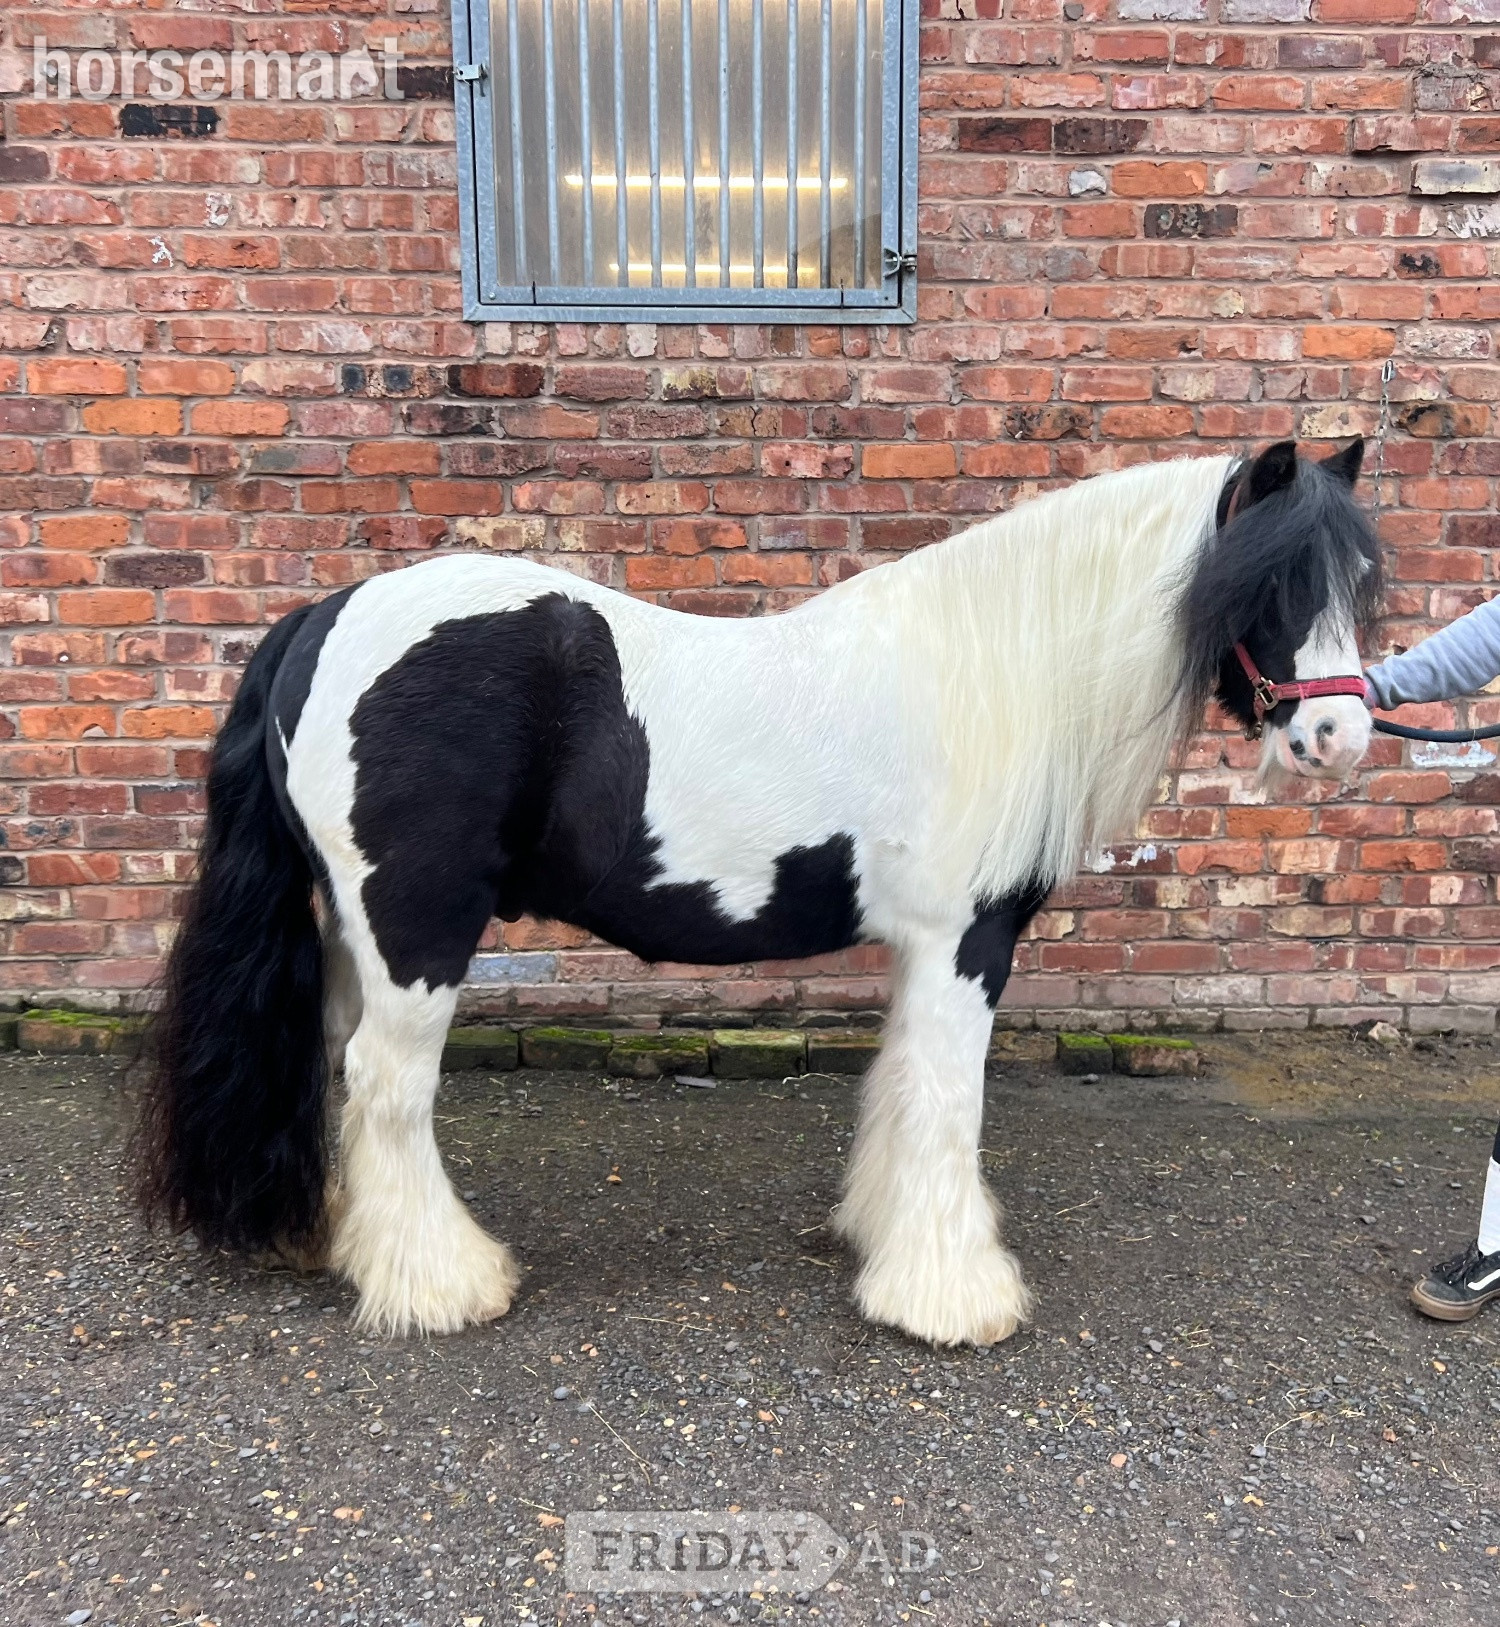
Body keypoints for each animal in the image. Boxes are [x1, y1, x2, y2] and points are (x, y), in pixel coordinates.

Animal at [137, 437, 1380, 1346]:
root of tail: (324, 618)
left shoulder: (922, 947)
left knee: (344, 1070)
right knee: (389, 1088)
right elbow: (949, 1101)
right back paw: (442, 1285)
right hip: (419, 930)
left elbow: (900, 1089)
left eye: (1363, 582)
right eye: (1268, 579)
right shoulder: (967, 939)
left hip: (357, 933)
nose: (1338, 736)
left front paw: (884, 1240)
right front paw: (953, 1297)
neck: (989, 671)